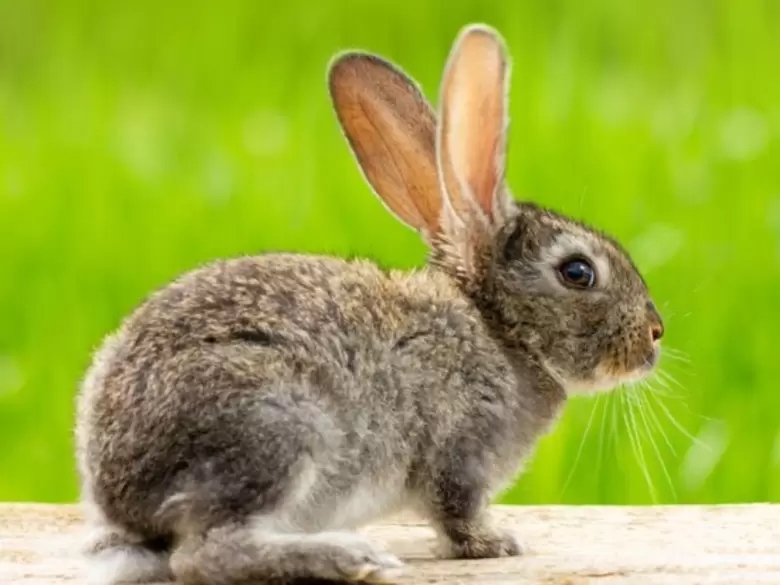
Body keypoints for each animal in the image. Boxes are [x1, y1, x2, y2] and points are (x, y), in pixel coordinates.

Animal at [75, 23, 664, 585]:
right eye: (578, 272)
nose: (655, 335)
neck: (499, 330)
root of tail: (119, 493)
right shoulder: (459, 451)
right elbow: (457, 512)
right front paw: (494, 544)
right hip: (278, 427)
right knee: (206, 555)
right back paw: (347, 558)